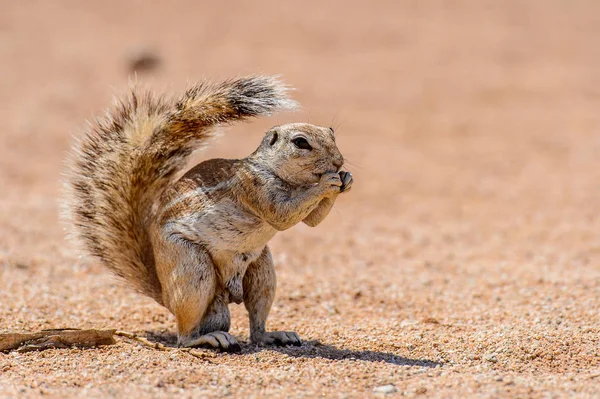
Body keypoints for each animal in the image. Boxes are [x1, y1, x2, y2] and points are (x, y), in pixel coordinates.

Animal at [62, 76, 352, 352]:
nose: (338, 161)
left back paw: (274, 335)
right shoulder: (253, 188)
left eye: (332, 133)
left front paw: (345, 180)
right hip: (192, 269)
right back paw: (206, 339)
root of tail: (165, 295)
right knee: (184, 335)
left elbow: (312, 221)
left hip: (262, 271)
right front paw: (327, 182)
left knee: (256, 325)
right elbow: (283, 214)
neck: (281, 176)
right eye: (300, 142)